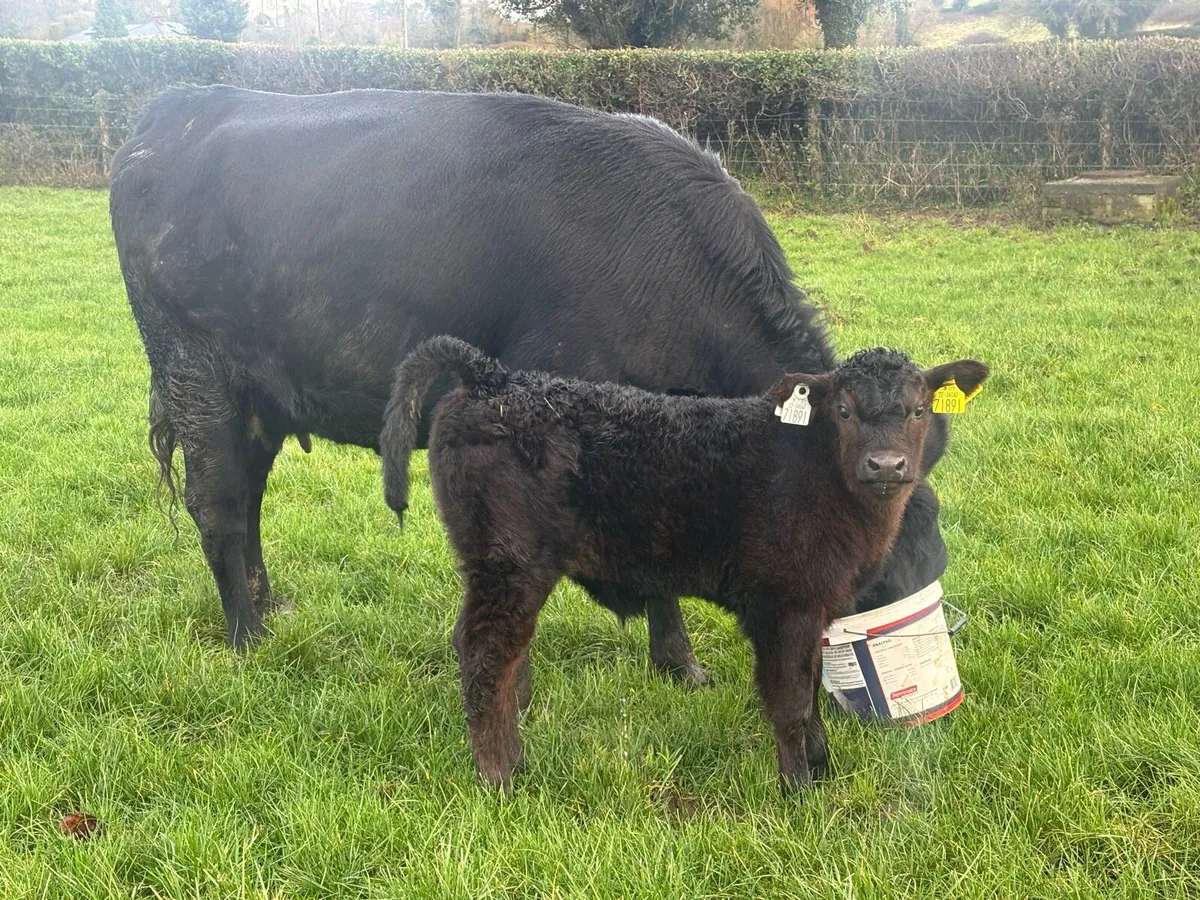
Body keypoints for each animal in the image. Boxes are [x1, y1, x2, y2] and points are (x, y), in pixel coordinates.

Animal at [108, 84, 953, 676]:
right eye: (879, 557)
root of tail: (179, 109)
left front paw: (677, 666)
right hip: (197, 375)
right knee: (219, 507)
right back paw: (248, 640)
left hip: (258, 398)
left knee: (246, 501)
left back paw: (266, 611)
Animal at [380, 336, 989, 790]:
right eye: (843, 410)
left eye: (919, 409)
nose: (885, 465)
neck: (813, 468)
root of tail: (494, 380)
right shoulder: (780, 603)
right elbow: (790, 700)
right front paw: (801, 791)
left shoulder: (813, 606)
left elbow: (812, 689)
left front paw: (820, 770)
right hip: (510, 560)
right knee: (488, 654)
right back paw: (501, 775)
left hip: (496, 565)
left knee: (482, 647)